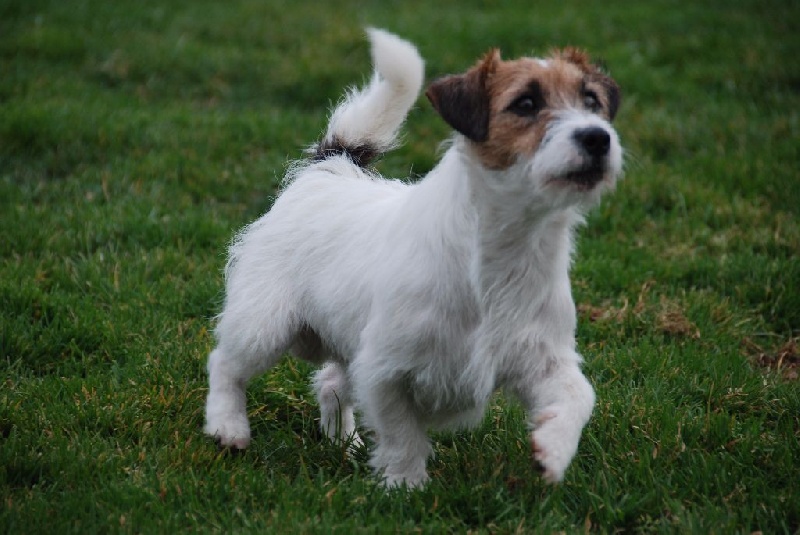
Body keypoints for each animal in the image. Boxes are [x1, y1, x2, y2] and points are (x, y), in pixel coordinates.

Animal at [204, 28, 622, 488]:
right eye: (526, 103)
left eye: (592, 101)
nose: (598, 138)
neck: (504, 250)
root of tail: (330, 169)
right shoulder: (384, 370)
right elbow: (402, 434)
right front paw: (406, 487)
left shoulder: (543, 355)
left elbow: (579, 394)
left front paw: (554, 449)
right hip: (264, 324)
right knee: (226, 364)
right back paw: (228, 427)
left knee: (331, 381)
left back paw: (343, 443)